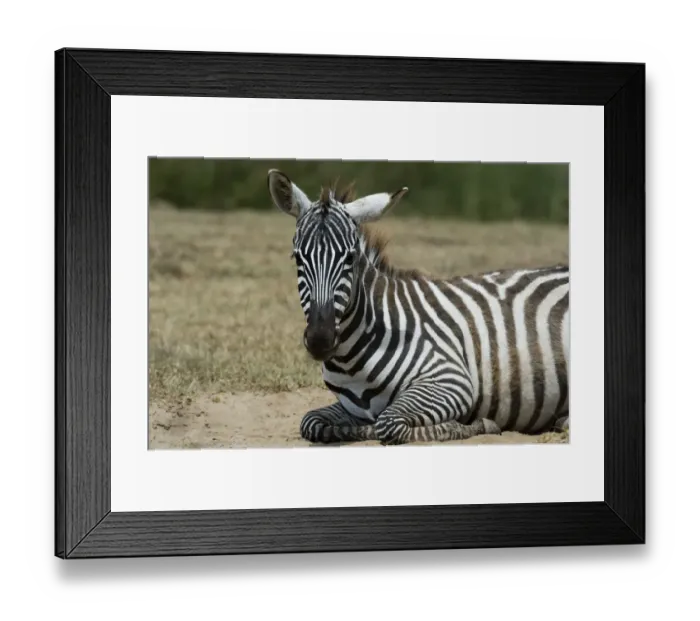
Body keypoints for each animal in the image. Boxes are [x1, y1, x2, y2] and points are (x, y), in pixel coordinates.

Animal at [267, 169, 570, 446]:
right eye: (297, 258)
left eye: (350, 258)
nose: (320, 339)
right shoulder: (348, 405)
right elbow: (311, 422)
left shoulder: (452, 379)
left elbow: (388, 424)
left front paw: (475, 424)